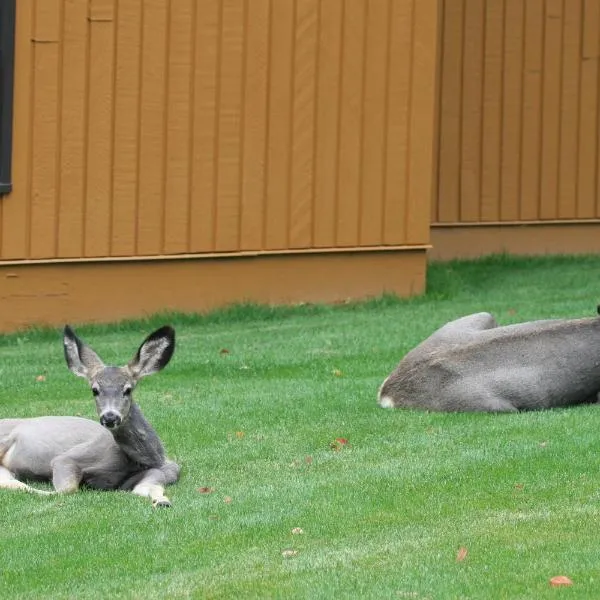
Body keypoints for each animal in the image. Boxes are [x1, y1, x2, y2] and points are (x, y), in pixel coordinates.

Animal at [0, 324, 179, 506]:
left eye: (128, 389)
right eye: (95, 390)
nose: (110, 417)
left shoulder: (169, 469)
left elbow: (149, 485)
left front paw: (162, 501)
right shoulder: (67, 458)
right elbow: (65, 489)